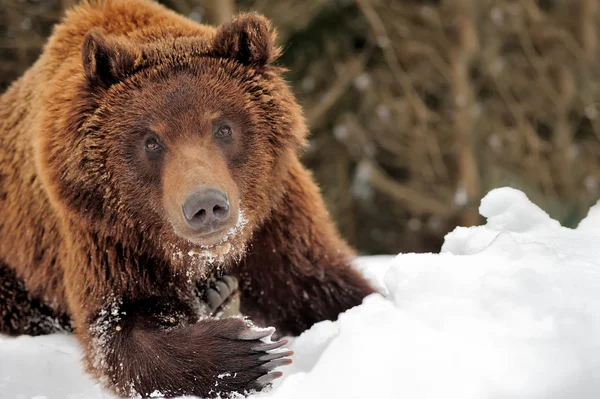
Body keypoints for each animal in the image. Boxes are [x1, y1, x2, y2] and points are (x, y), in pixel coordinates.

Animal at [0, 0, 376, 396]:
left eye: (223, 127)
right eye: (151, 141)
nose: (206, 205)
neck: (198, 254)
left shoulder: (275, 218)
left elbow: (317, 285)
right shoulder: (105, 234)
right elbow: (119, 326)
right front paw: (250, 353)